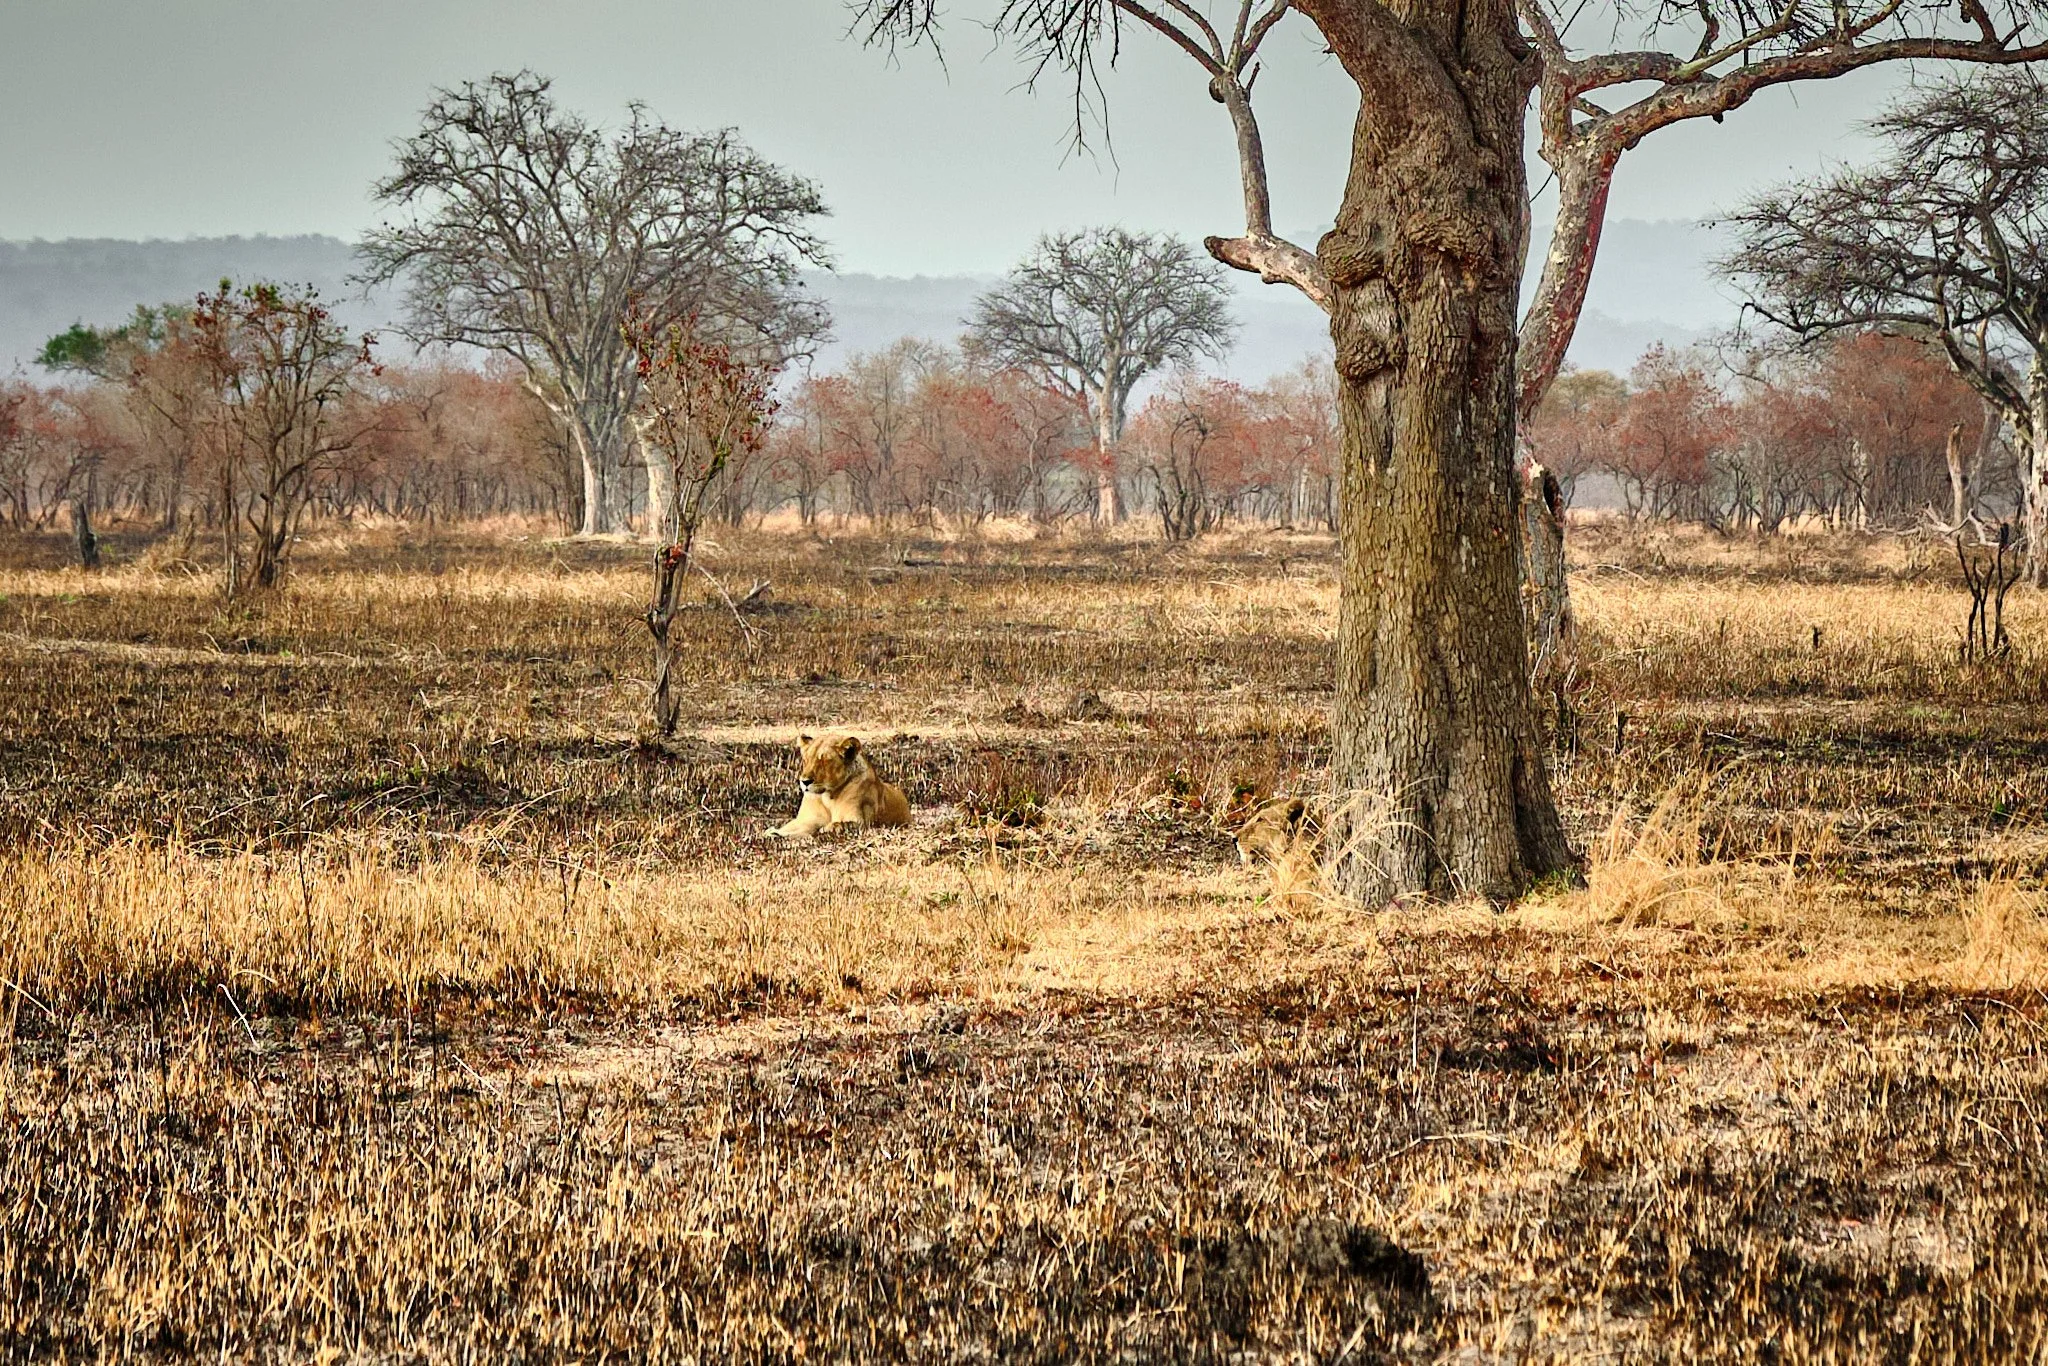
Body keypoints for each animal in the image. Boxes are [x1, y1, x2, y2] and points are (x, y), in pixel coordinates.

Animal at [768, 732, 912, 838]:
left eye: (825, 761)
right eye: (806, 760)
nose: (805, 781)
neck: (827, 797)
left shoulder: (861, 823)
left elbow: (838, 824)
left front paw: (824, 829)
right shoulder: (806, 820)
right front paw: (773, 832)